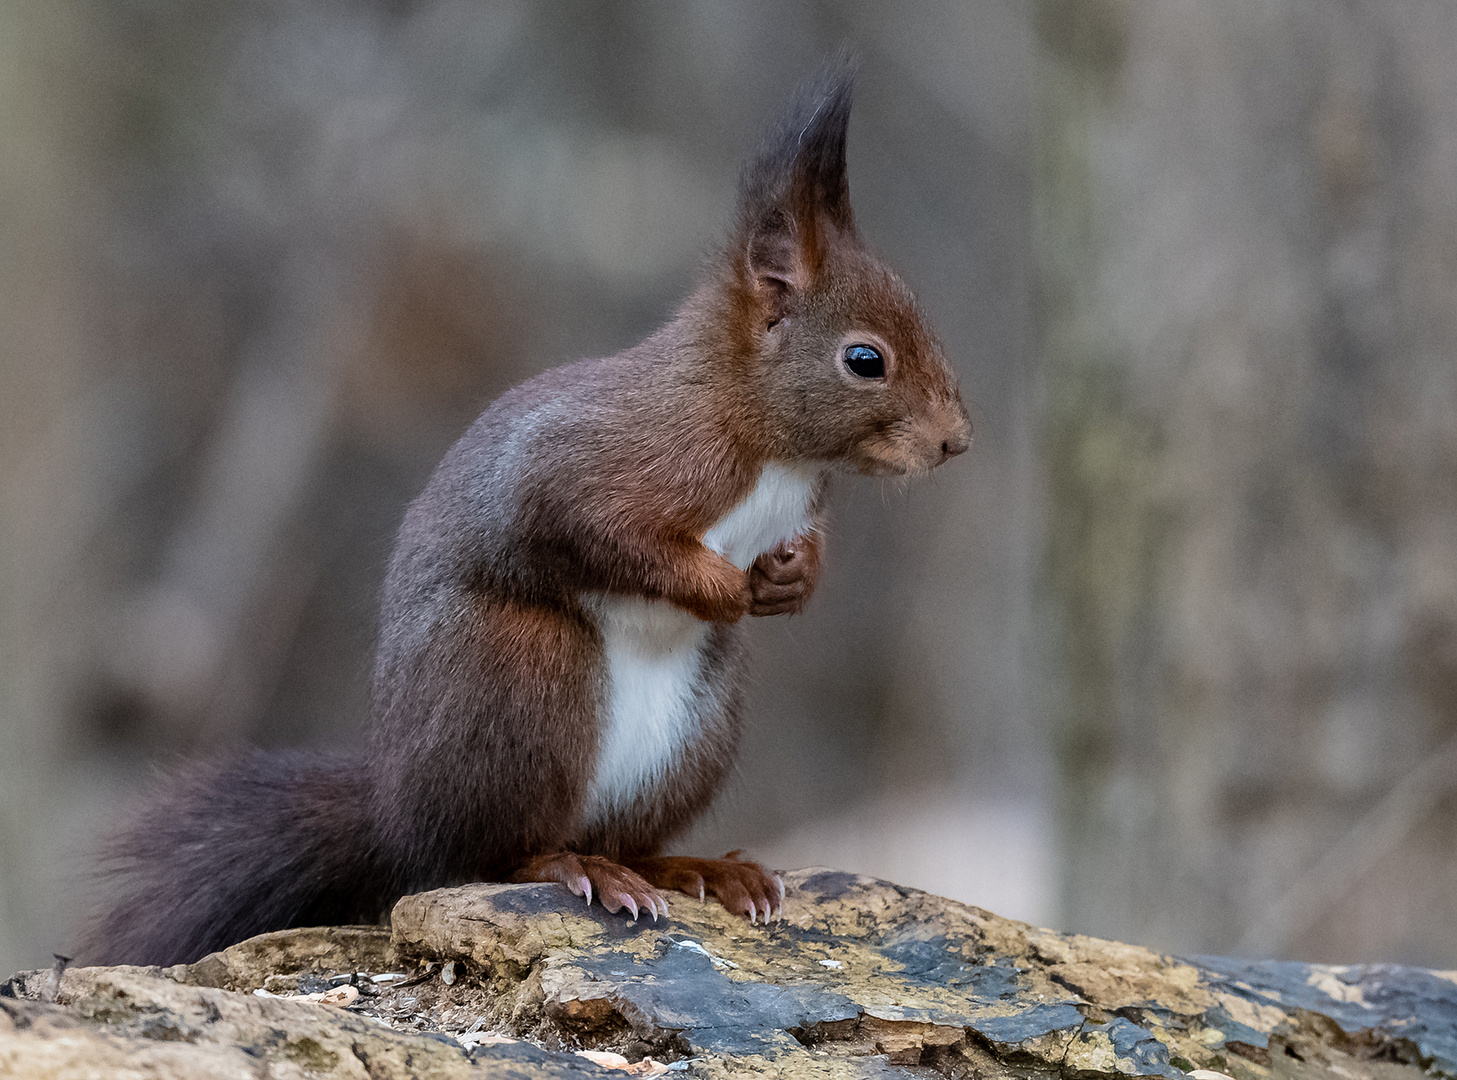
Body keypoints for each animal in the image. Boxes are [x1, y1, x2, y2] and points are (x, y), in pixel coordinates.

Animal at [79, 59, 967, 961]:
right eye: (865, 360)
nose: (954, 442)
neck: (768, 443)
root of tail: (399, 815)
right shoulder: (597, 462)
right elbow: (591, 526)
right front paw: (720, 586)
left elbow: (799, 548)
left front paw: (792, 579)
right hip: (523, 674)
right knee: (493, 853)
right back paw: (575, 869)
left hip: (697, 731)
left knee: (622, 838)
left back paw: (693, 868)